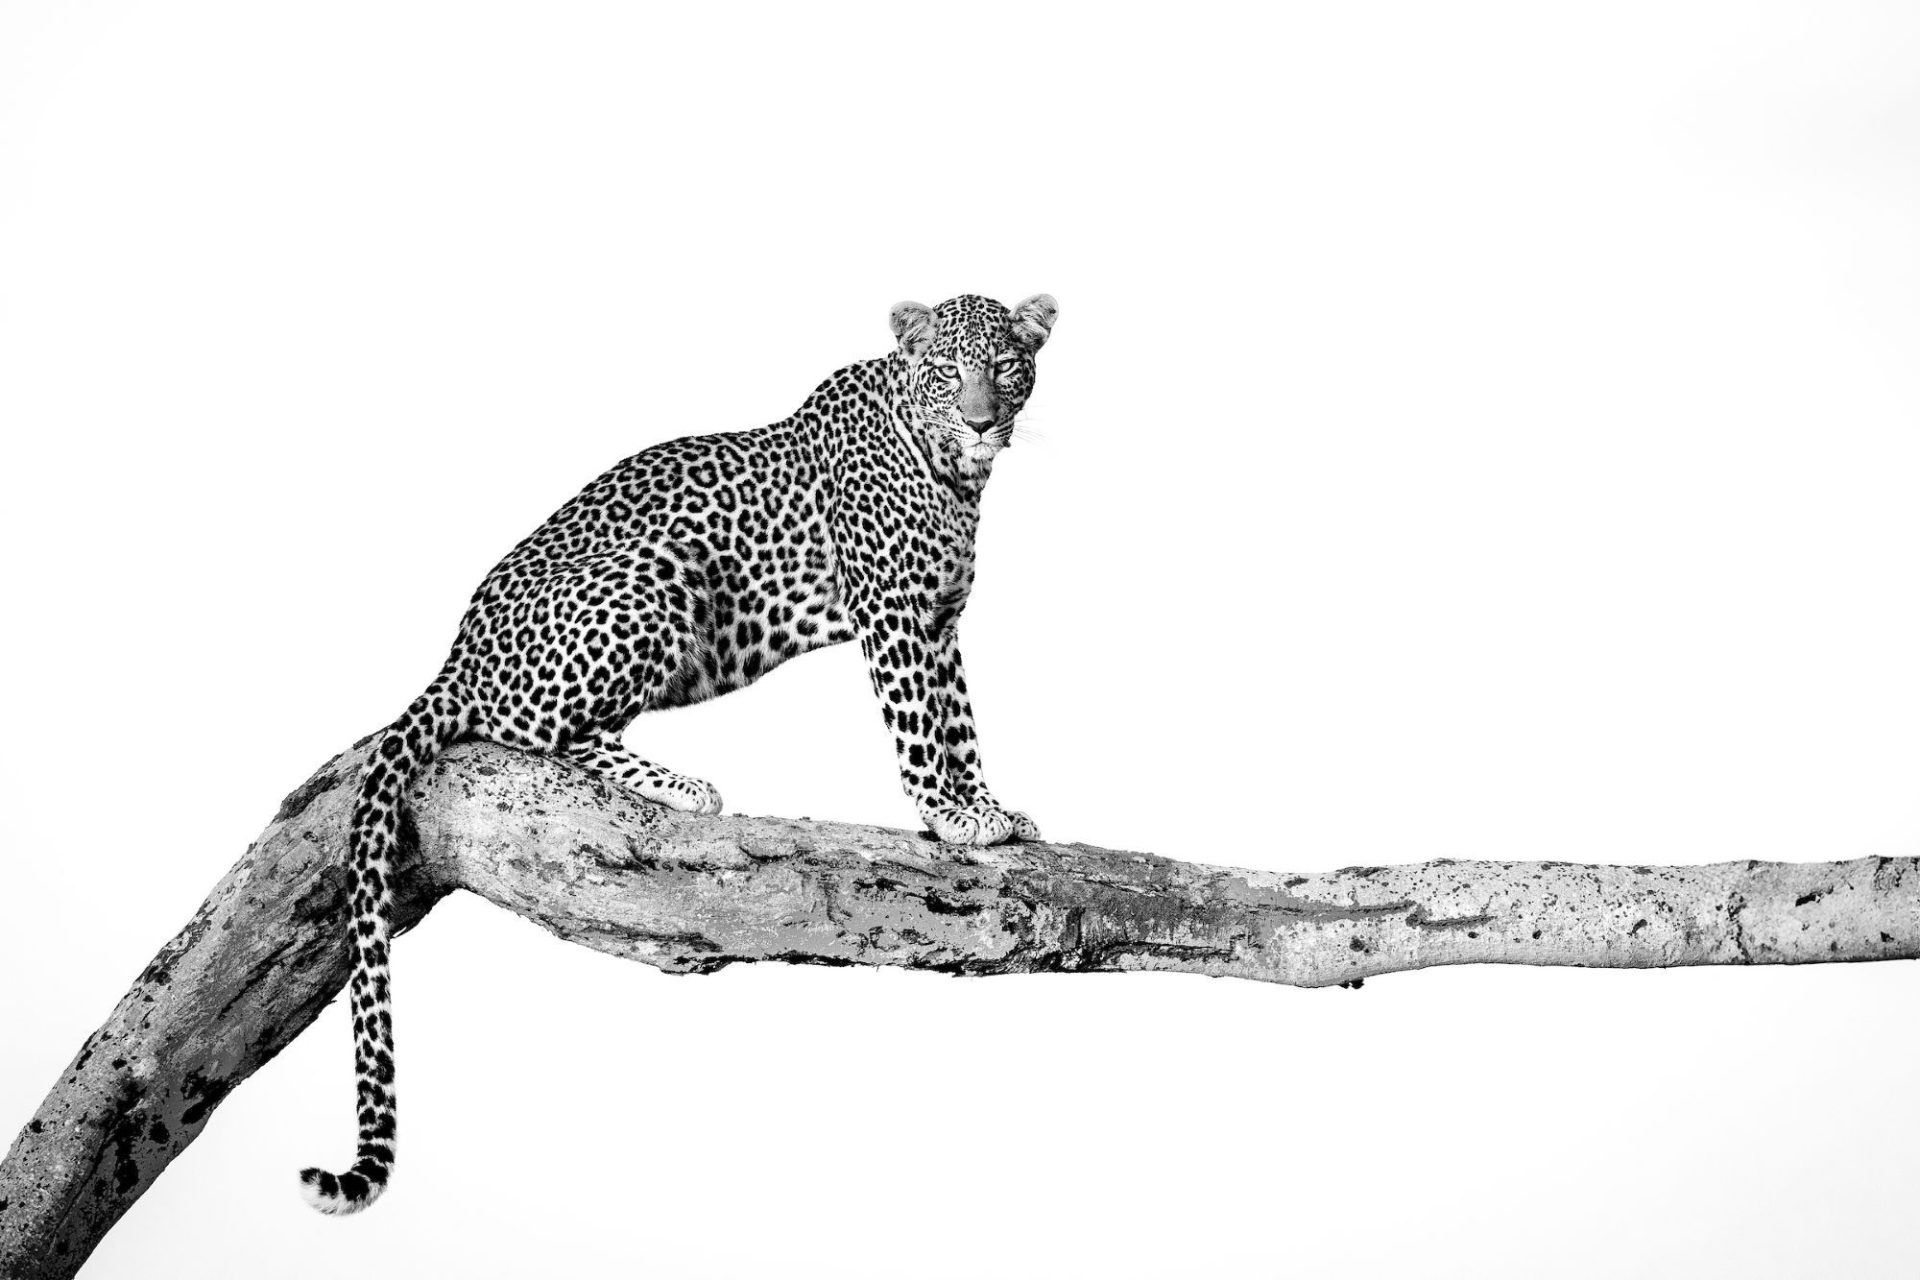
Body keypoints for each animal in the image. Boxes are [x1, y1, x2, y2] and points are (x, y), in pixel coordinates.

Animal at [299, 292, 1059, 1214]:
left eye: (1007, 368)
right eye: (947, 373)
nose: (982, 423)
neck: (951, 474)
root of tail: (456, 657)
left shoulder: (942, 624)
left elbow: (961, 724)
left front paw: (987, 806)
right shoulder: (894, 614)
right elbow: (919, 726)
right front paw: (948, 816)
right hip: (654, 575)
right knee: (530, 730)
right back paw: (680, 785)